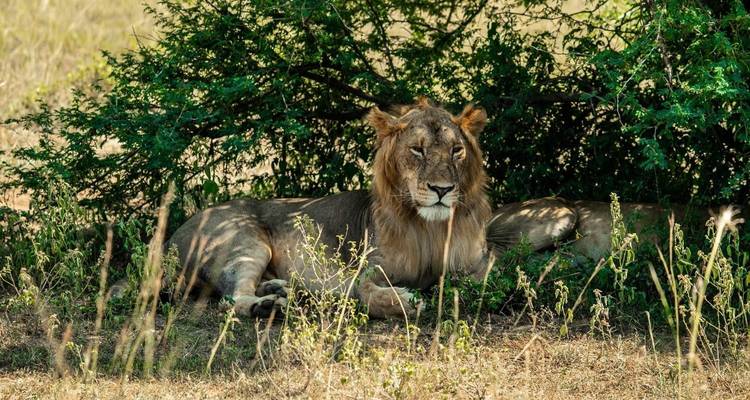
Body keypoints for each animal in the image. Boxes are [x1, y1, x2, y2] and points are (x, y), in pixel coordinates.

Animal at [166, 98, 492, 318]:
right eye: (417, 150)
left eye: (456, 150)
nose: (442, 189)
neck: (430, 229)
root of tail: (169, 241)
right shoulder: (363, 271)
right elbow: (366, 292)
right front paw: (406, 301)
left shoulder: (480, 263)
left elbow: (476, 281)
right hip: (245, 243)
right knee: (231, 300)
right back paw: (268, 306)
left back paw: (279, 290)